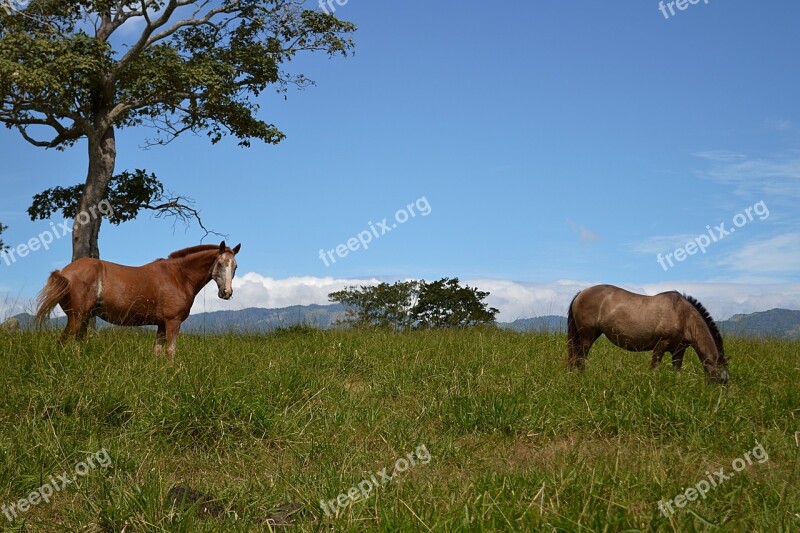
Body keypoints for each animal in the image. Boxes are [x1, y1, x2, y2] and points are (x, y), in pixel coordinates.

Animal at [35, 241, 241, 358]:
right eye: (220, 263)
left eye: (235, 266)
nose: (226, 292)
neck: (179, 276)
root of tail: (64, 272)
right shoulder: (172, 322)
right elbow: (170, 352)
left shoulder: (161, 325)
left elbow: (156, 352)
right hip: (76, 317)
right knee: (63, 342)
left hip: (84, 318)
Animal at [564, 282, 728, 382]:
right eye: (721, 380)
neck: (683, 316)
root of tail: (581, 293)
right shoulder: (660, 345)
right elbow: (654, 369)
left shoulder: (678, 350)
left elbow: (677, 372)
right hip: (587, 336)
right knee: (581, 359)